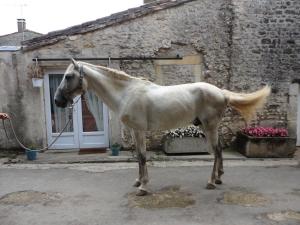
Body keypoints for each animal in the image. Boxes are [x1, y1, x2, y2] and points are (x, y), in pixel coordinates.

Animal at [54, 59, 272, 196]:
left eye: (68, 76)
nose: (57, 101)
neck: (126, 92)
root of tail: (221, 92)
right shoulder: (134, 131)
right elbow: (138, 157)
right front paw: (138, 181)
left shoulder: (139, 130)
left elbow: (143, 156)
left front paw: (143, 188)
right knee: (218, 151)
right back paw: (218, 178)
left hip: (210, 126)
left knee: (217, 151)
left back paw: (211, 182)